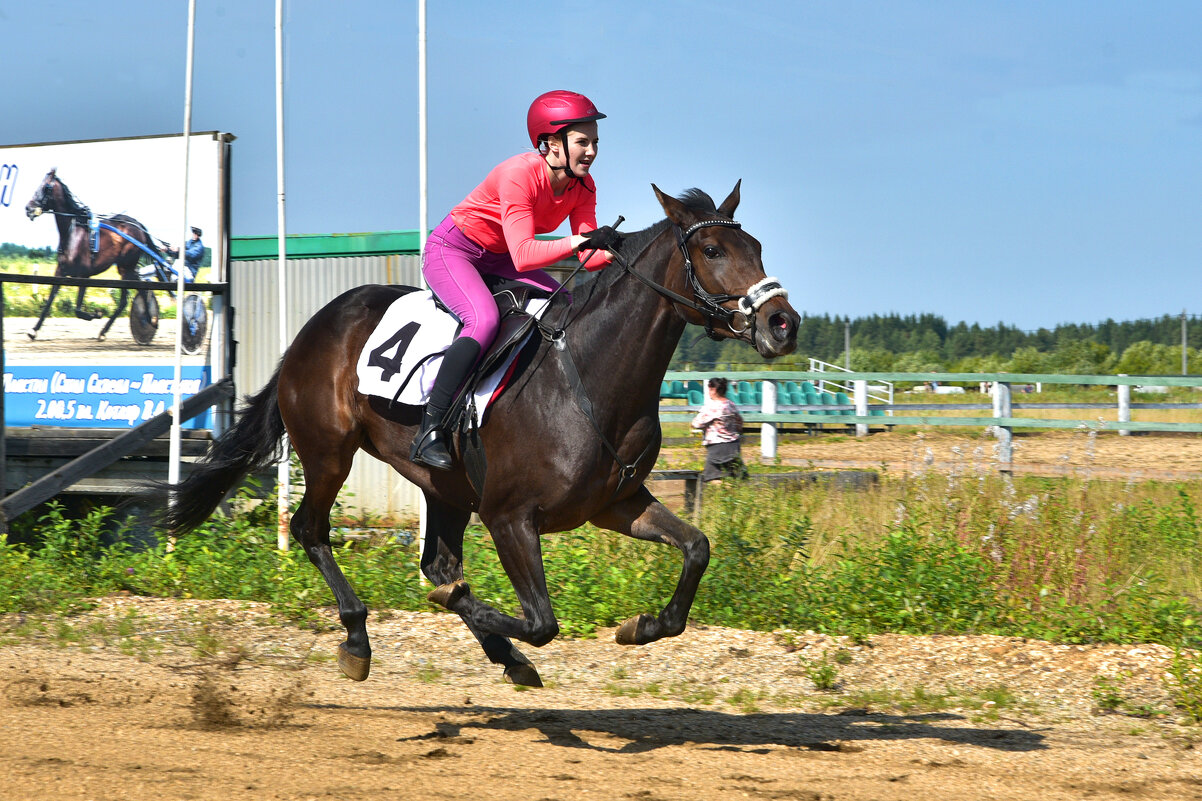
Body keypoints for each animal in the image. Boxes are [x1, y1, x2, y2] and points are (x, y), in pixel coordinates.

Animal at [24, 169, 165, 339]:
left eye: (46, 188)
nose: (28, 208)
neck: (72, 233)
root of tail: (137, 225)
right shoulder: (61, 270)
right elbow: (50, 300)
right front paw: (34, 330)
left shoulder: (84, 275)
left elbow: (78, 310)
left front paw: (96, 314)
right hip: (126, 268)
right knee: (133, 294)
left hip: (126, 267)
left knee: (130, 296)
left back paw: (147, 320)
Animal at [162, 182, 798, 687]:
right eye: (712, 250)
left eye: (758, 248)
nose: (782, 322)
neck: (591, 377)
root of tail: (311, 329)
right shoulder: (509, 516)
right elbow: (542, 621)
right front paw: (478, 613)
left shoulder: (615, 503)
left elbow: (697, 548)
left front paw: (641, 625)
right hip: (328, 453)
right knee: (310, 530)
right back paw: (360, 638)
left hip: (442, 484)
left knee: (438, 563)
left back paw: (499, 651)